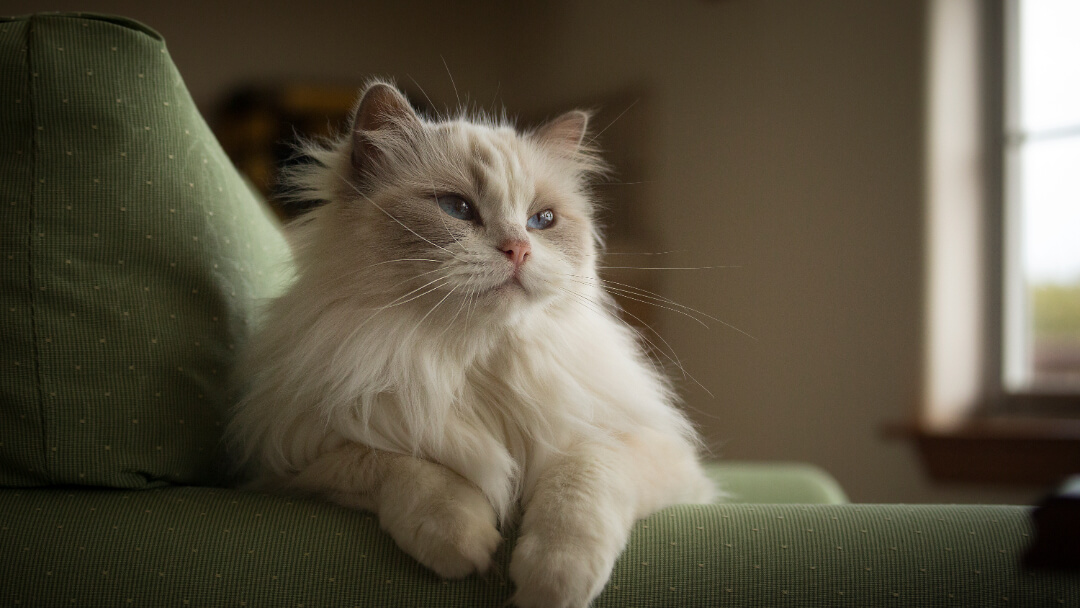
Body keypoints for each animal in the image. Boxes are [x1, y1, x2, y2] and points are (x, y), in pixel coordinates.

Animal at [227, 80, 717, 608]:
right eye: (456, 208)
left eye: (542, 220)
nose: (518, 249)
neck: (477, 363)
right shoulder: (292, 465)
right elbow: (407, 470)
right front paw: (467, 549)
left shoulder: (648, 449)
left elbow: (580, 483)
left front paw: (549, 586)